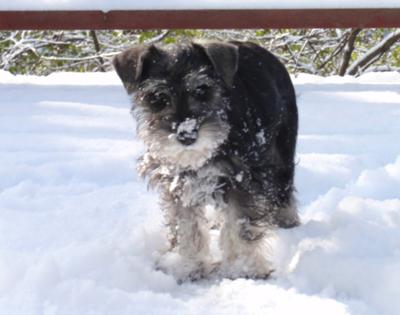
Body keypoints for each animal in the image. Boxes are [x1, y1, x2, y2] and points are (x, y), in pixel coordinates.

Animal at [111, 40, 296, 282]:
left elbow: (240, 224)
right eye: (157, 97)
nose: (186, 135)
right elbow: (186, 226)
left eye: (202, 90)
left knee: (284, 184)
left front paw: (245, 269)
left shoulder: (242, 178)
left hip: (282, 151)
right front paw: (190, 266)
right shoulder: (178, 182)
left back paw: (287, 219)